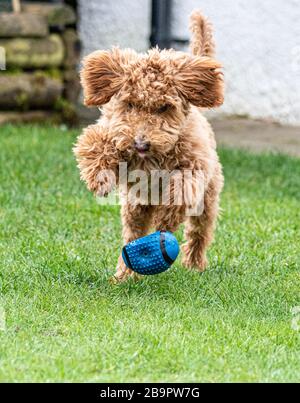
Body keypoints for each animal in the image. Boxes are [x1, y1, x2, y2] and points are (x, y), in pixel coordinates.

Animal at [74, 11, 224, 282]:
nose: (140, 143)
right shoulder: (111, 129)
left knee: (199, 232)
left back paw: (194, 264)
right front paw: (99, 179)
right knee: (133, 233)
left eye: (164, 107)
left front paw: (168, 217)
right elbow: (93, 144)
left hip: (207, 200)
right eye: (131, 104)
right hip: (135, 207)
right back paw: (125, 275)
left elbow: (180, 191)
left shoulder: (193, 165)